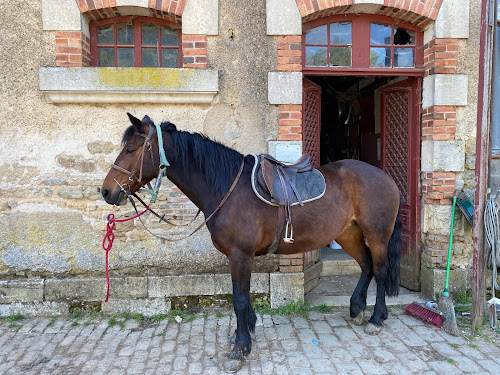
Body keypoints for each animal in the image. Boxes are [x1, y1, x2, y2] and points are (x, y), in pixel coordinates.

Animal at [101, 114, 402, 374]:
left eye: (130, 149)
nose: (106, 191)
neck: (227, 189)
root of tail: (386, 178)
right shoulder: (238, 257)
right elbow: (243, 298)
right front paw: (242, 334)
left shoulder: (240, 255)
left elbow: (239, 299)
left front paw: (239, 349)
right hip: (348, 233)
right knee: (366, 266)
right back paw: (357, 308)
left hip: (377, 235)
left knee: (381, 270)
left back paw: (376, 318)